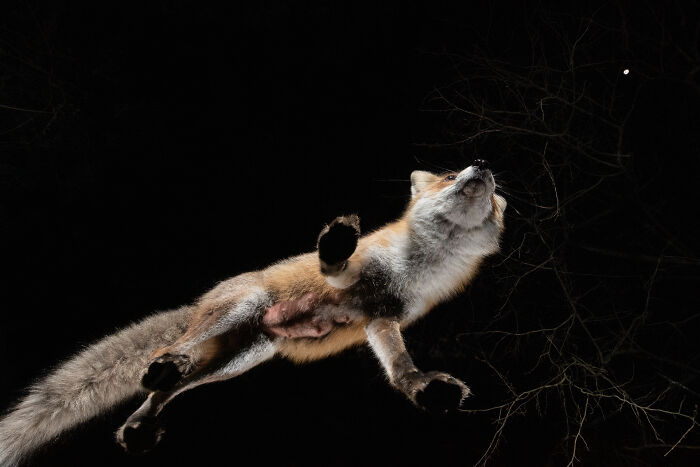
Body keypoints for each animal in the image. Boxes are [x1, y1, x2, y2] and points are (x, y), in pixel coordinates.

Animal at [0, 160, 506, 466]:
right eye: (448, 175)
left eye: (496, 196)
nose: (484, 165)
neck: (418, 266)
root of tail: (203, 303)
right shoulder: (354, 278)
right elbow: (335, 263)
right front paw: (337, 239)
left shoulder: (383, 318)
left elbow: (400, 368)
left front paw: (424, 389)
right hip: (245, 309)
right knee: (175, 349)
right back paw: (165, 363)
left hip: (238, 362)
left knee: (169, 390)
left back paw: (140, 425)